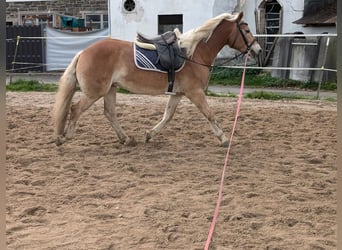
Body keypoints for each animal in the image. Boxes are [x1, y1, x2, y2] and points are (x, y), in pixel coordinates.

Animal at [52, 12, 262, 146]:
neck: (193, 53)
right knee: (75, 109)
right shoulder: (195, 93)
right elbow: (209, 114)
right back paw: (64, 137)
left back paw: (127, 139)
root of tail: (83, 52)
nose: (258, 49)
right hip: (95, 92)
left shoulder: (178, 94)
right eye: (246, 30)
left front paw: (149, 135)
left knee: (110, 113)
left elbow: (167, 116)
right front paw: (224, 139)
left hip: (110, 89)